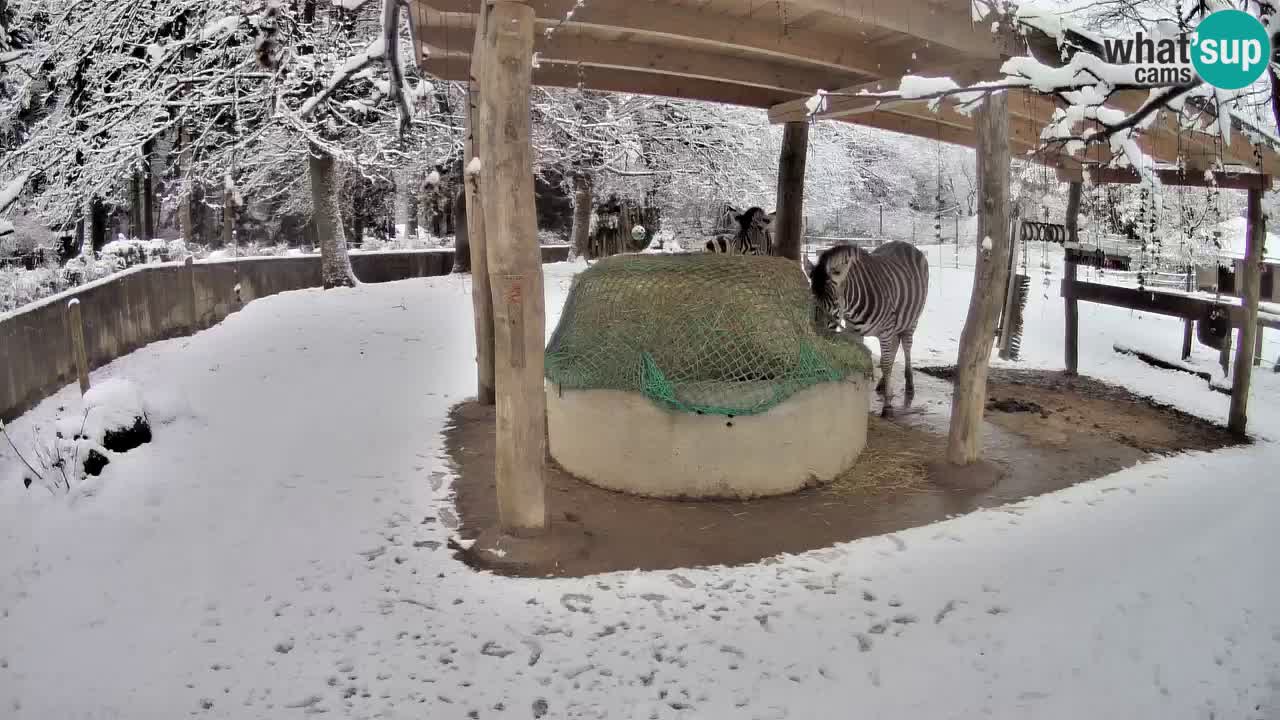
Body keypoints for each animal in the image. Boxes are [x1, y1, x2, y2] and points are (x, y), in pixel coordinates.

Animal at [808, 239, 931, 415]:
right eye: (813, 302)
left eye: (834, 304)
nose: (818, 336)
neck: (852, 307)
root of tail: (905, 243)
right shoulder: (854, 331)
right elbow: (861, 362)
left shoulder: (886, 331)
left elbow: (885, 365)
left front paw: (887, 406)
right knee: (895, 346)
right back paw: (882, 384)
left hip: (911, 320)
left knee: (906, 346)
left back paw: (909, 386)